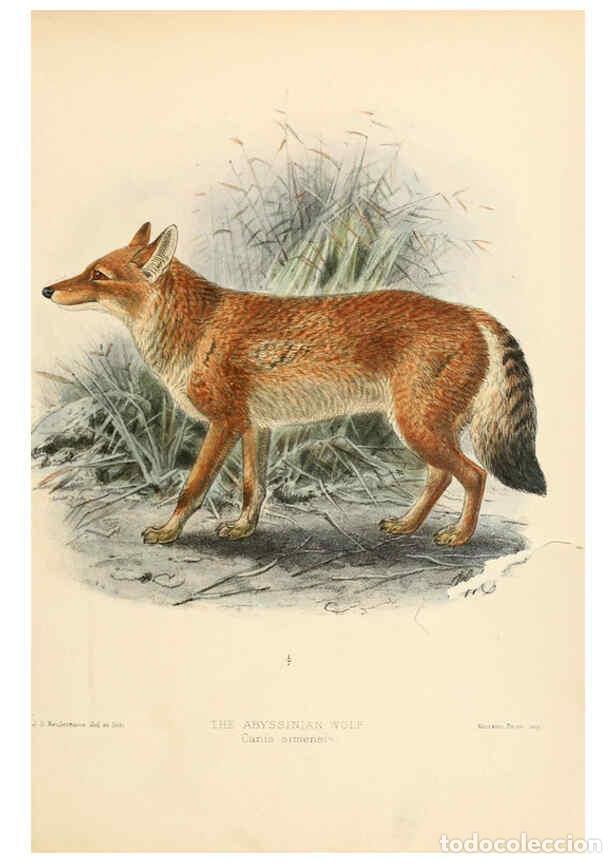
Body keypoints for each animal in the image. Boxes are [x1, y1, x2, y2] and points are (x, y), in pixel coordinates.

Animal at [42, 221, 546, 547]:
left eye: (98, 276)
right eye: (87, 269)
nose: (47, 290)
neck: (196, 327)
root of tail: (468, 312)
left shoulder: (224, 424)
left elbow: (192, 488)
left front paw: (168, 532)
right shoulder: (253, 427)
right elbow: (253, 487)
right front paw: (243, 529)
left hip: (419, 429)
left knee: (474, 475)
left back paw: (459, 536)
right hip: (423, 430)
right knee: (442, 477)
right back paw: (406, 526)